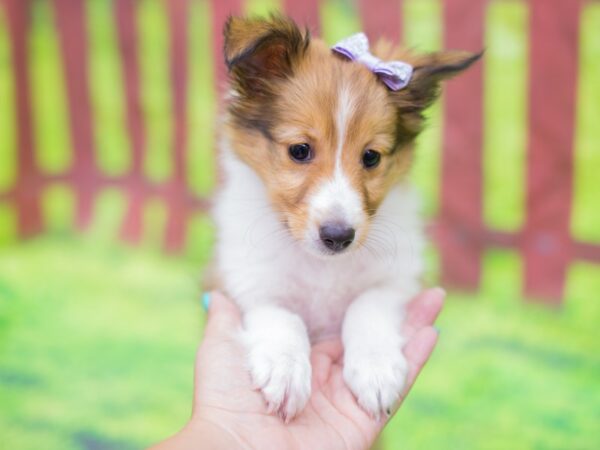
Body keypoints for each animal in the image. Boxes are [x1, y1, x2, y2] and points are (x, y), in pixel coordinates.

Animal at [209, 14, 480, 422]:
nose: (338, 236)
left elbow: (365, 306)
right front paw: (285, 370)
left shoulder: (397, 279)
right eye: (299, 150)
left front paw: (376, 368)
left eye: (371, 157)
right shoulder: (246, 281)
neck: (323, 267)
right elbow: (281, 315)